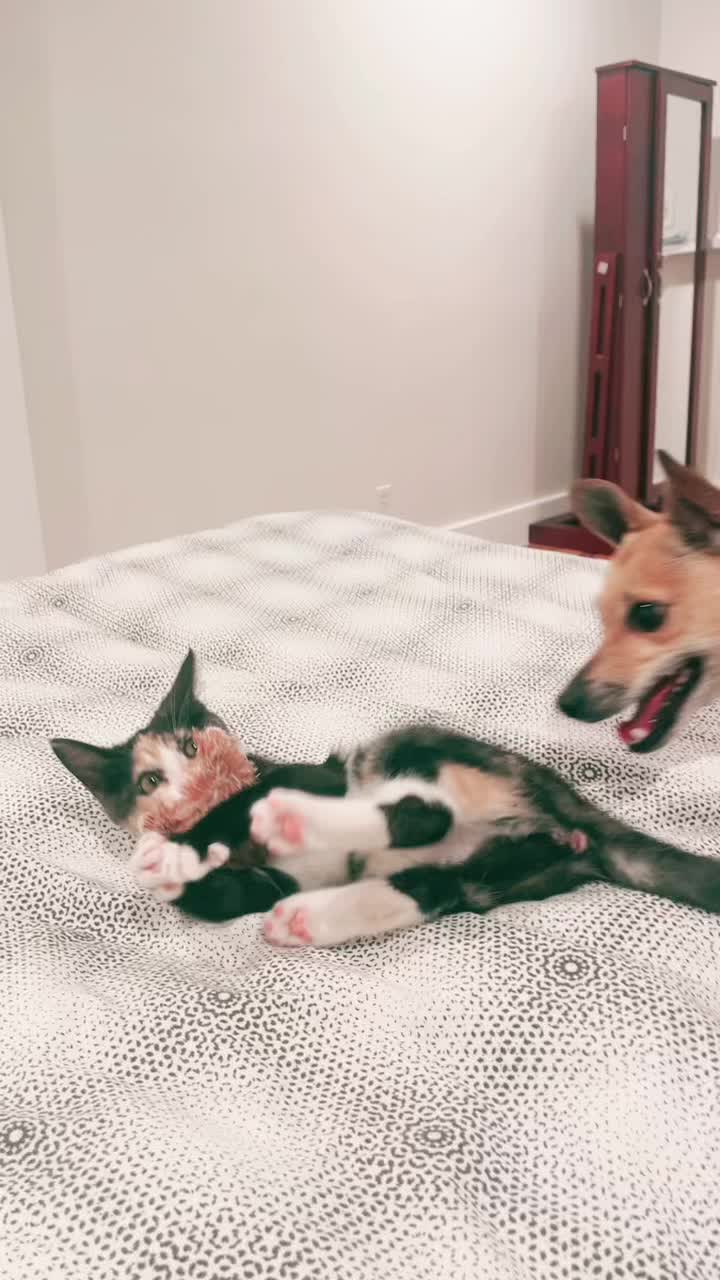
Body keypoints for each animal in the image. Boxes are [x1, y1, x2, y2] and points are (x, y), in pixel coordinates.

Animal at [51, 650, 720, 948]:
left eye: (192, 746)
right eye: (147, 781)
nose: (189, 785)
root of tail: (569, 806)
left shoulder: (306, 776)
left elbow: (254, 798)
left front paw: (193, 838)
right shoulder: (254, 884)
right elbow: (225, 898)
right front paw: (172, 863)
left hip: (418, 753)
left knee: (425, 812)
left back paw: (298, 827)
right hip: (498, 872)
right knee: (439, 881)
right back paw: (309, 916)